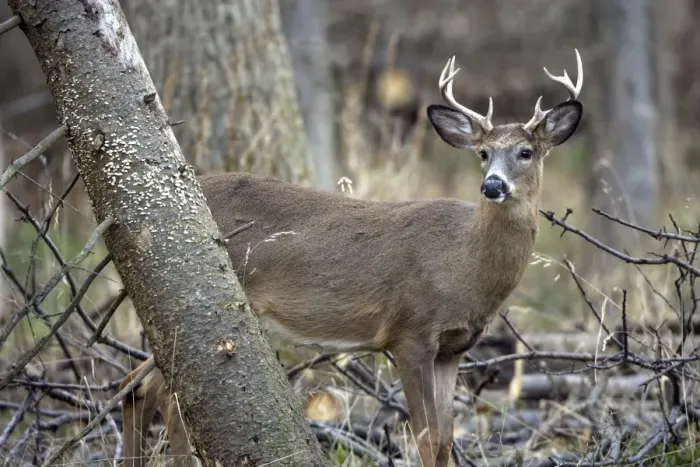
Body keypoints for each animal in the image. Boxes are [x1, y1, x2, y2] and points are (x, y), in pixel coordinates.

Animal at [119, 49, 583, 467]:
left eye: (525, 152)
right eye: (483, 153)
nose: (492, 186)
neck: (464, 263)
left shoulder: (452, 348)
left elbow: (448, 438)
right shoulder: (409, 333)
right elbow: (427, 437)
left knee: (139, 389)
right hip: (191, 301)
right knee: (155, 391)